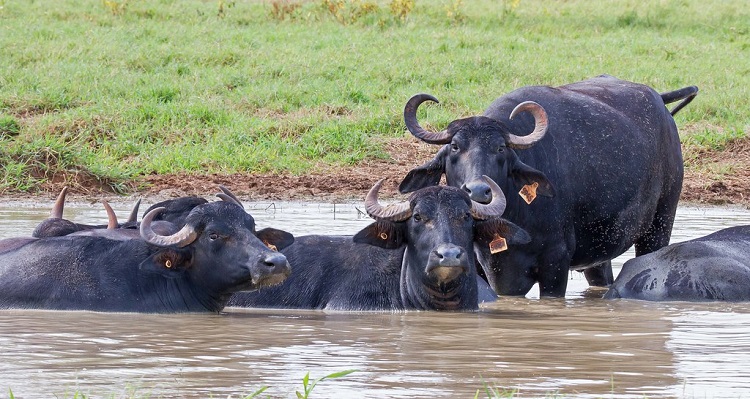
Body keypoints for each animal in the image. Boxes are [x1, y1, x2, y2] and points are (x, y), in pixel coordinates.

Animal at [400, 76, 700, 298]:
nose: (478, 192)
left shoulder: (555, 262)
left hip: (660, 222)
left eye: (500, 148)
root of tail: (660, 103)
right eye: (454, 147)